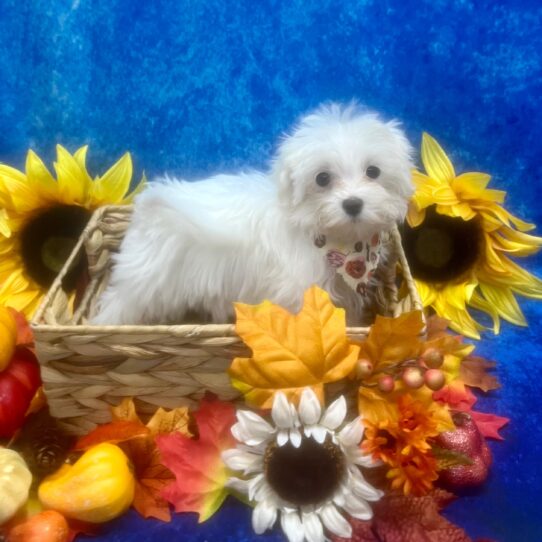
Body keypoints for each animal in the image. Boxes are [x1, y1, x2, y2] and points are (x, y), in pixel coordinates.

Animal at [94, 103, 416, 326]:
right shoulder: (299, 290)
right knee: (118, 303)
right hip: (146, 277)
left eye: (373, 172)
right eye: (322, 178)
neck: (337, 242)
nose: (352, 204)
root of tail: (150, 202)